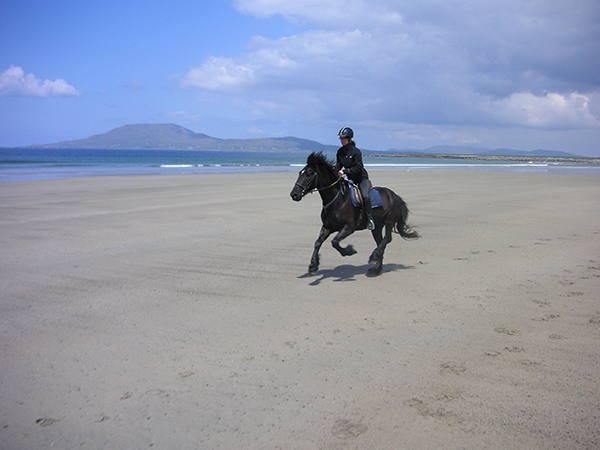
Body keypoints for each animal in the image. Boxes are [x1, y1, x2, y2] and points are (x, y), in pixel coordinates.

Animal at [290, 151, 418, 276]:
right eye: (300, 172)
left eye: (309, 173)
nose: (294, 194)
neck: (337, 200)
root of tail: (396, 197)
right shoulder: (327, 227)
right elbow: (318, 242)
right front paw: (313, 266)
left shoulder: (348, 228)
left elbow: (334, 242)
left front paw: (349, 251)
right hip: (377, 226)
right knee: (381, 242)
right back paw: (376, 269)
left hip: (389, 221)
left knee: (387, 239)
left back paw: (373, 257)